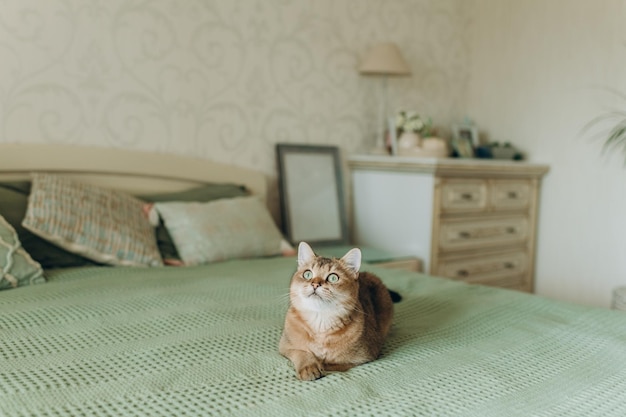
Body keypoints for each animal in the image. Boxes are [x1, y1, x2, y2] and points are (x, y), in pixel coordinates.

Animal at [280, 240, 392, 380]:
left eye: (333, 277)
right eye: (307, 274)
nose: (315, 284)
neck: (320, 323)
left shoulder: (365, 356)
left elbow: (334, 362)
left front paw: (321, 364)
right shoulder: (285, 346)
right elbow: (301, 352)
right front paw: (309, 366)